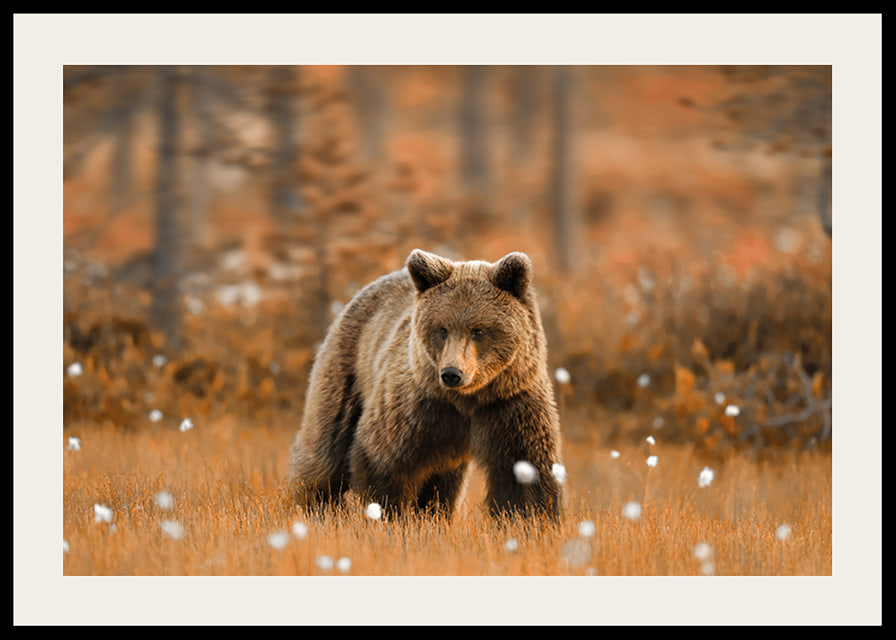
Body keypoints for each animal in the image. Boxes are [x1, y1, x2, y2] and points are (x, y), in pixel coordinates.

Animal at [287, 249, 564, 518]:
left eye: (478, 330)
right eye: (442, 329)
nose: (451, 373)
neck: (468, 399)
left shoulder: (511, 403)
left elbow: (525, 472)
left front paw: (529, 517)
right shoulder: (417, 406)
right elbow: (384, 461)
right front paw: (390, 514)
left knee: (444, 483)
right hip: (346, 372)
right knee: (326, 448)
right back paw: (317, 505)